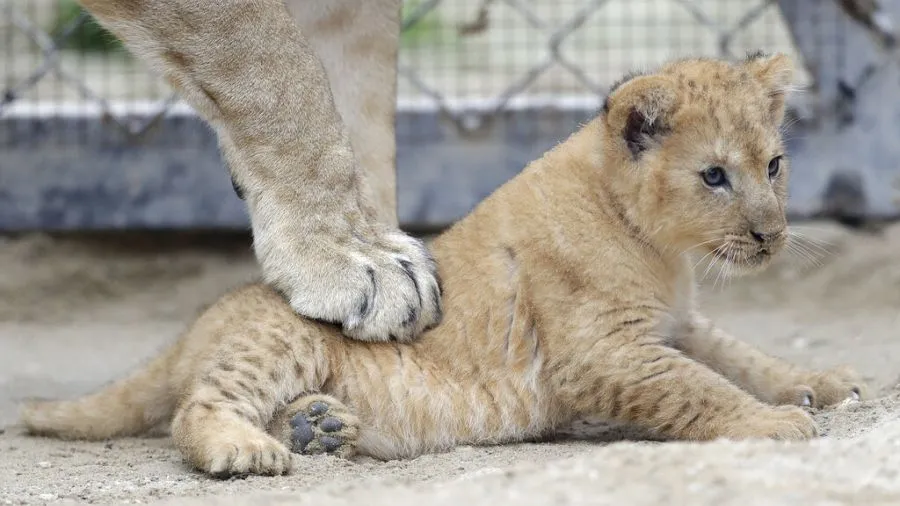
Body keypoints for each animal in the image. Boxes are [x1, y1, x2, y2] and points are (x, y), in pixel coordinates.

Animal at [20, 53, 865, 477]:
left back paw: (317, 428)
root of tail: (200, 323)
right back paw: (249, 450)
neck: (659, 249)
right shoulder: (603, 353)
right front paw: (770, 422)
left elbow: (740, 356)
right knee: (198, 407)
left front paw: (822, 383)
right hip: (277, 338)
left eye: (774, 165)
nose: (771, 236)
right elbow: (698, 389)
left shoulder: (678, 324)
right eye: (715, 176)